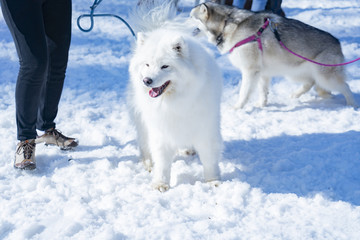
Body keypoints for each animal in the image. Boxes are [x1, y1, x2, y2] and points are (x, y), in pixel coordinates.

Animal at [126, 0, 222, 191]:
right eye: (147, 64)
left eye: (165, 66)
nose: (147, 80)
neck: (175, 100)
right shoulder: (160, 129)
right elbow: (162, 161)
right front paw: (160, 183)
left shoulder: (206, 127)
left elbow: (209, 158)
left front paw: (212, 181)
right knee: (144, 143)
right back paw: (148, 162)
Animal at [191, 2, 358, 107]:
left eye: (191, 17)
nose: (185, 19)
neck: (227, 25)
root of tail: (338, 43)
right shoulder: (262, 73)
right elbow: (263, 92)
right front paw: (261, 105)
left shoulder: (250, 71)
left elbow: (244, 93)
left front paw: (237, 107)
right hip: (294, 73)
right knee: (310, 82)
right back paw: (295, 95)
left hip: (325, 77)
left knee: (346, 86)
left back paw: (352, 105)